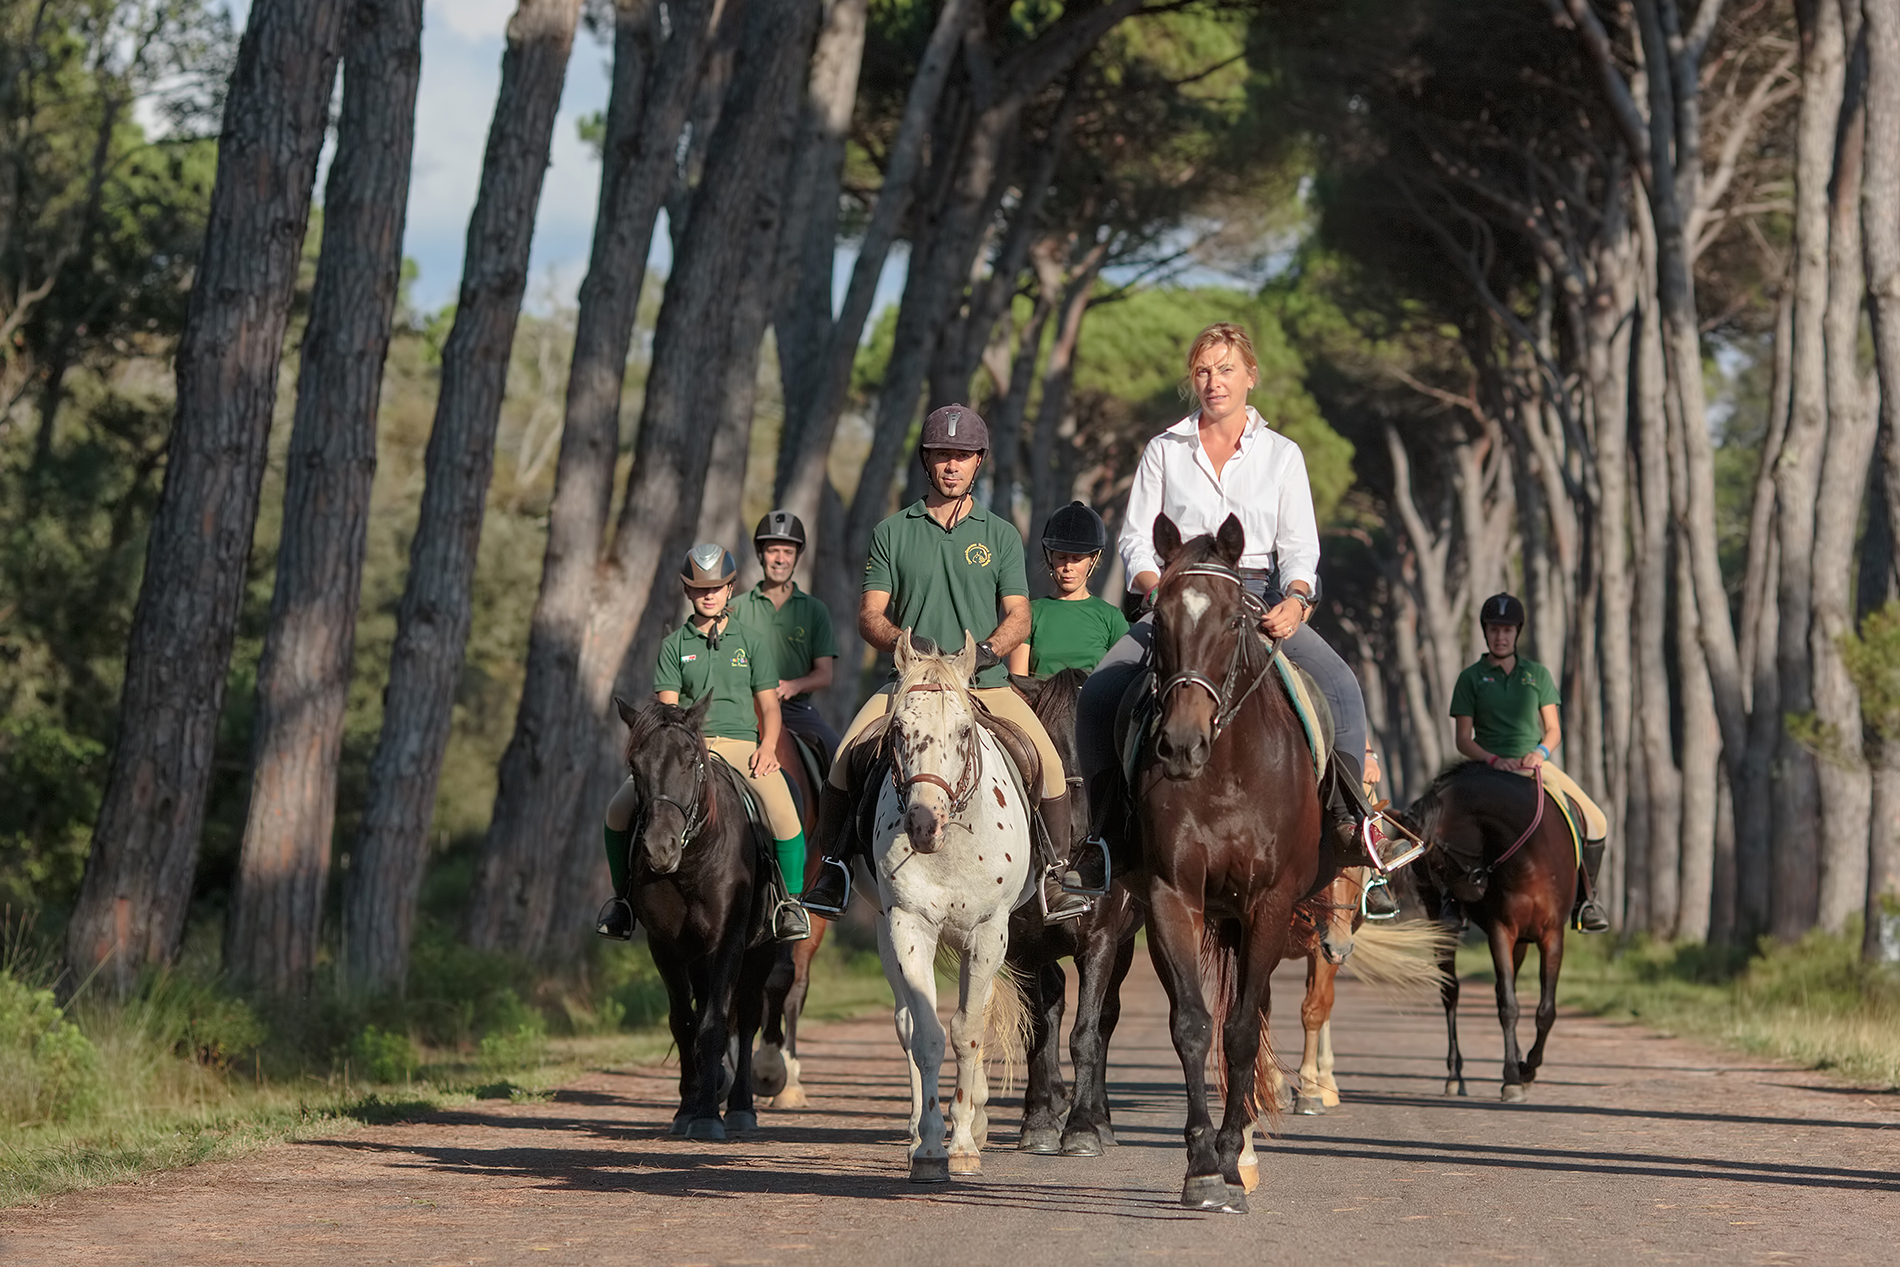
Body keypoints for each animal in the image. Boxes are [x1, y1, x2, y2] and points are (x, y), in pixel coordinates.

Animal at [615, 694, 779, 1139]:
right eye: (635, 764)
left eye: (690, 761)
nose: (660, 848)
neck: (693, 860)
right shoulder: (665, 947)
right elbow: (684, 1023)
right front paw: (688, 1109)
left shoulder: (728, 942)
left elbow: (715, 1024)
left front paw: (707, 1116)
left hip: (762, 951)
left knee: (747, 1017)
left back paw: (740, 1106)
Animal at [870, 629, 1032, 1183]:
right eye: (899, 729)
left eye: (964, 732)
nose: (924, 824)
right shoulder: (907, 926)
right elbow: (928, 1036)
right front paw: (930, 1146)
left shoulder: (987, 932)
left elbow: (967, 1031)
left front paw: (962, 1142)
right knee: (905, 1024)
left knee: (975, 1016)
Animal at [1007, 668, 1143, 1159]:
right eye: (1043, 738)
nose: (1082, 828)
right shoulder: (1022, 949)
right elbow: (1037, 1030)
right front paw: (1040, 1122)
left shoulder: (1100, 942)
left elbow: (1087, 1034)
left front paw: (1084, 1128)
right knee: (1052, 1004)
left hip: (1124, 945)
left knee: (1105, 1019)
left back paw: (1100, 1118)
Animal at [1135, 513, 1330, 1214]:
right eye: (1159, 617)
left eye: (1230, 621)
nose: (1179, 745)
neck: (1224, 770)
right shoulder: (1170, 896)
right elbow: (1193, 1024)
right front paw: (1200, 1164)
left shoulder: (1269, 903)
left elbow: (1242, 1029)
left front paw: (1227, 1155)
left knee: (1257, 1011)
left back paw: (1241, 1147)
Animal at [1401, 760, 1578, 1103]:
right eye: (1428, 864)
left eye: (1437, 858)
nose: (1467, 896)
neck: (1530, 856)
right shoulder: (1501, 931)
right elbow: (1508, 1006)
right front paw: (1512, 1077)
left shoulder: (1552, 935)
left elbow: (1545, 1010)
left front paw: (1527, 1069)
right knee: (1451, 993)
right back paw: (1455, 1075)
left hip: (1522, 941)